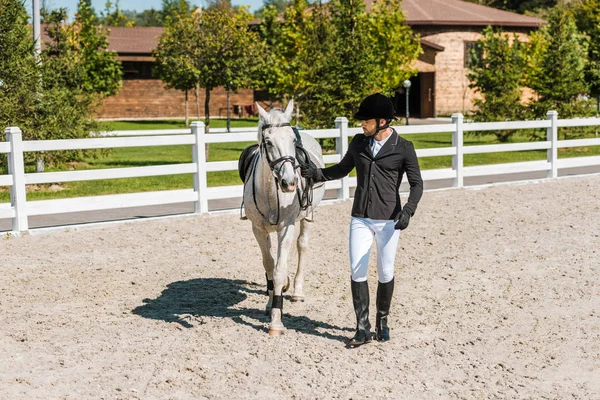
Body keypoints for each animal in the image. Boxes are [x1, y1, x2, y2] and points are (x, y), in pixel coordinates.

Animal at [241, 99, 324, 334]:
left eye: (292, 140)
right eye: (268, 142)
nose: (290, 182)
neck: (271, 190)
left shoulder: (286, 228)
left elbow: (278, 270)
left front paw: (276, 321)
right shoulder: (258, 230)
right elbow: (269, 266)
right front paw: (270, 304)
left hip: (307, 218)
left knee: (302, 246)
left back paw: (296, 291)